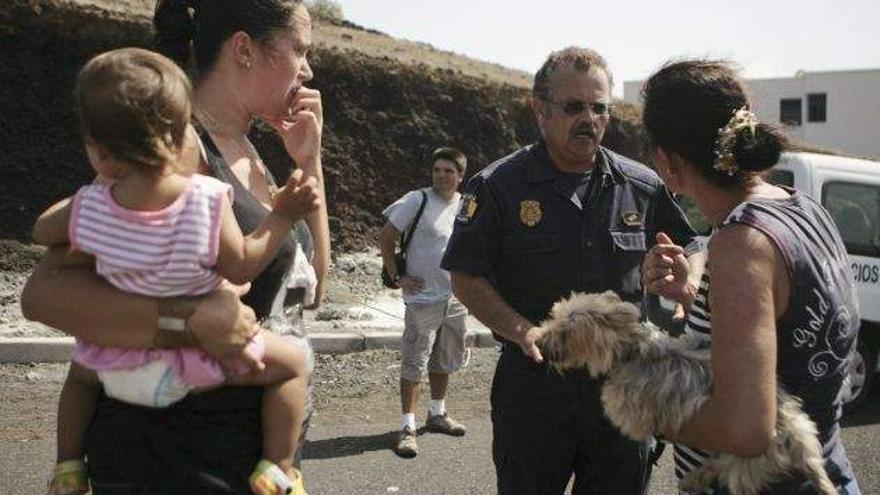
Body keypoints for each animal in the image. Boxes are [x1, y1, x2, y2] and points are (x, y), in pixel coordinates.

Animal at [540, 290, 836, 495]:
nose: (539, 342)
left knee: (728, 471)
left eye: (566, 330)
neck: (632, 350)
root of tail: (796, 432)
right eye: (555, 316)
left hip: (745, 456)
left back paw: (696, 478)